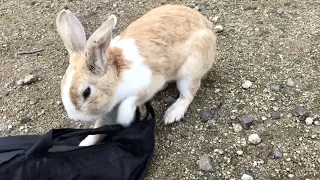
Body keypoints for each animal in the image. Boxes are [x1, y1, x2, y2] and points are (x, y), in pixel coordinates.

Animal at [55, 4, 218, 146]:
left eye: (86, 92)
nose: (75, 117)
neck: (116, 77)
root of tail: (208, 27)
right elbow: (98, 128)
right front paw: (84, 144)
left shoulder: (149, 84)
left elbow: (129, 103)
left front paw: (125, 119)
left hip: (189, 71)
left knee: (187, 95)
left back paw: (172, 114)